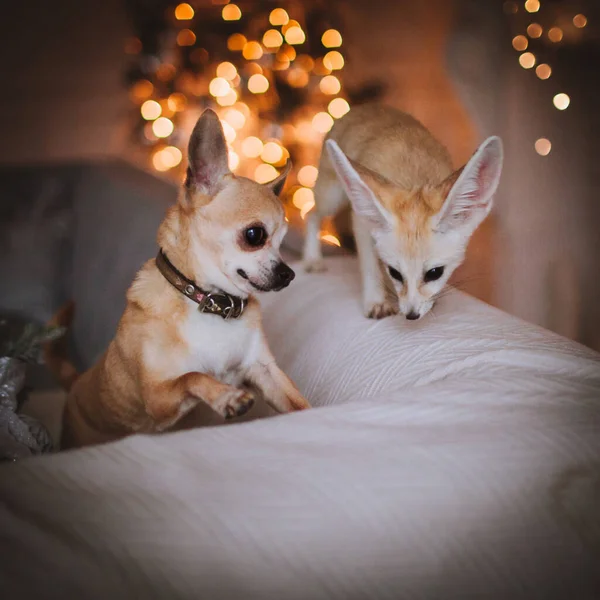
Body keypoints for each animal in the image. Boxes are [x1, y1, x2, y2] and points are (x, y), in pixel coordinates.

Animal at [47, 108, 310, 448]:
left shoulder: (264, 371)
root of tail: (77, 381)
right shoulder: (158, 400)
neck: (211, 302)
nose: (289, 273)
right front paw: (226, 397)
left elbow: (300, 405)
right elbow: (193, 376)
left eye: (283, 243)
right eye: (255, 235)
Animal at [302, 104, 504, 318]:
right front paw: (376, 301)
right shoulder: (361, 221)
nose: (411, 315)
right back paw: (312, 259)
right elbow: (369, 265)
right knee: (311, 213)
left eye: (434, 273)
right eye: (395, 273)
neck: (413, 179)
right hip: (332, 198)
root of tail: (366, 106)